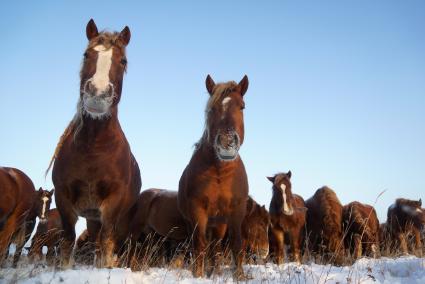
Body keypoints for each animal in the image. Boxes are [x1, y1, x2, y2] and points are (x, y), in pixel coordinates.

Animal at [47, 18, 141, 268]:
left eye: (123, 61)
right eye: (86, 54)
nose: (98, 94)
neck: (93, 149)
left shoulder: (113, 202)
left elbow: (106, 241)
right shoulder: (63, 197)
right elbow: (68, 239)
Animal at [177, 74, 250, 278]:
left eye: (242, 106)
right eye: (211, 109)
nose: (226, 142)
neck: (219, 172)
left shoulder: (237, 210)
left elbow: (236, 243)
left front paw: (239, 276)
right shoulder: (198, 210)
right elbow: (199, 244)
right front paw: (198, 275)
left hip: (219, 224)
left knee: (215, 246)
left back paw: (215, 271)